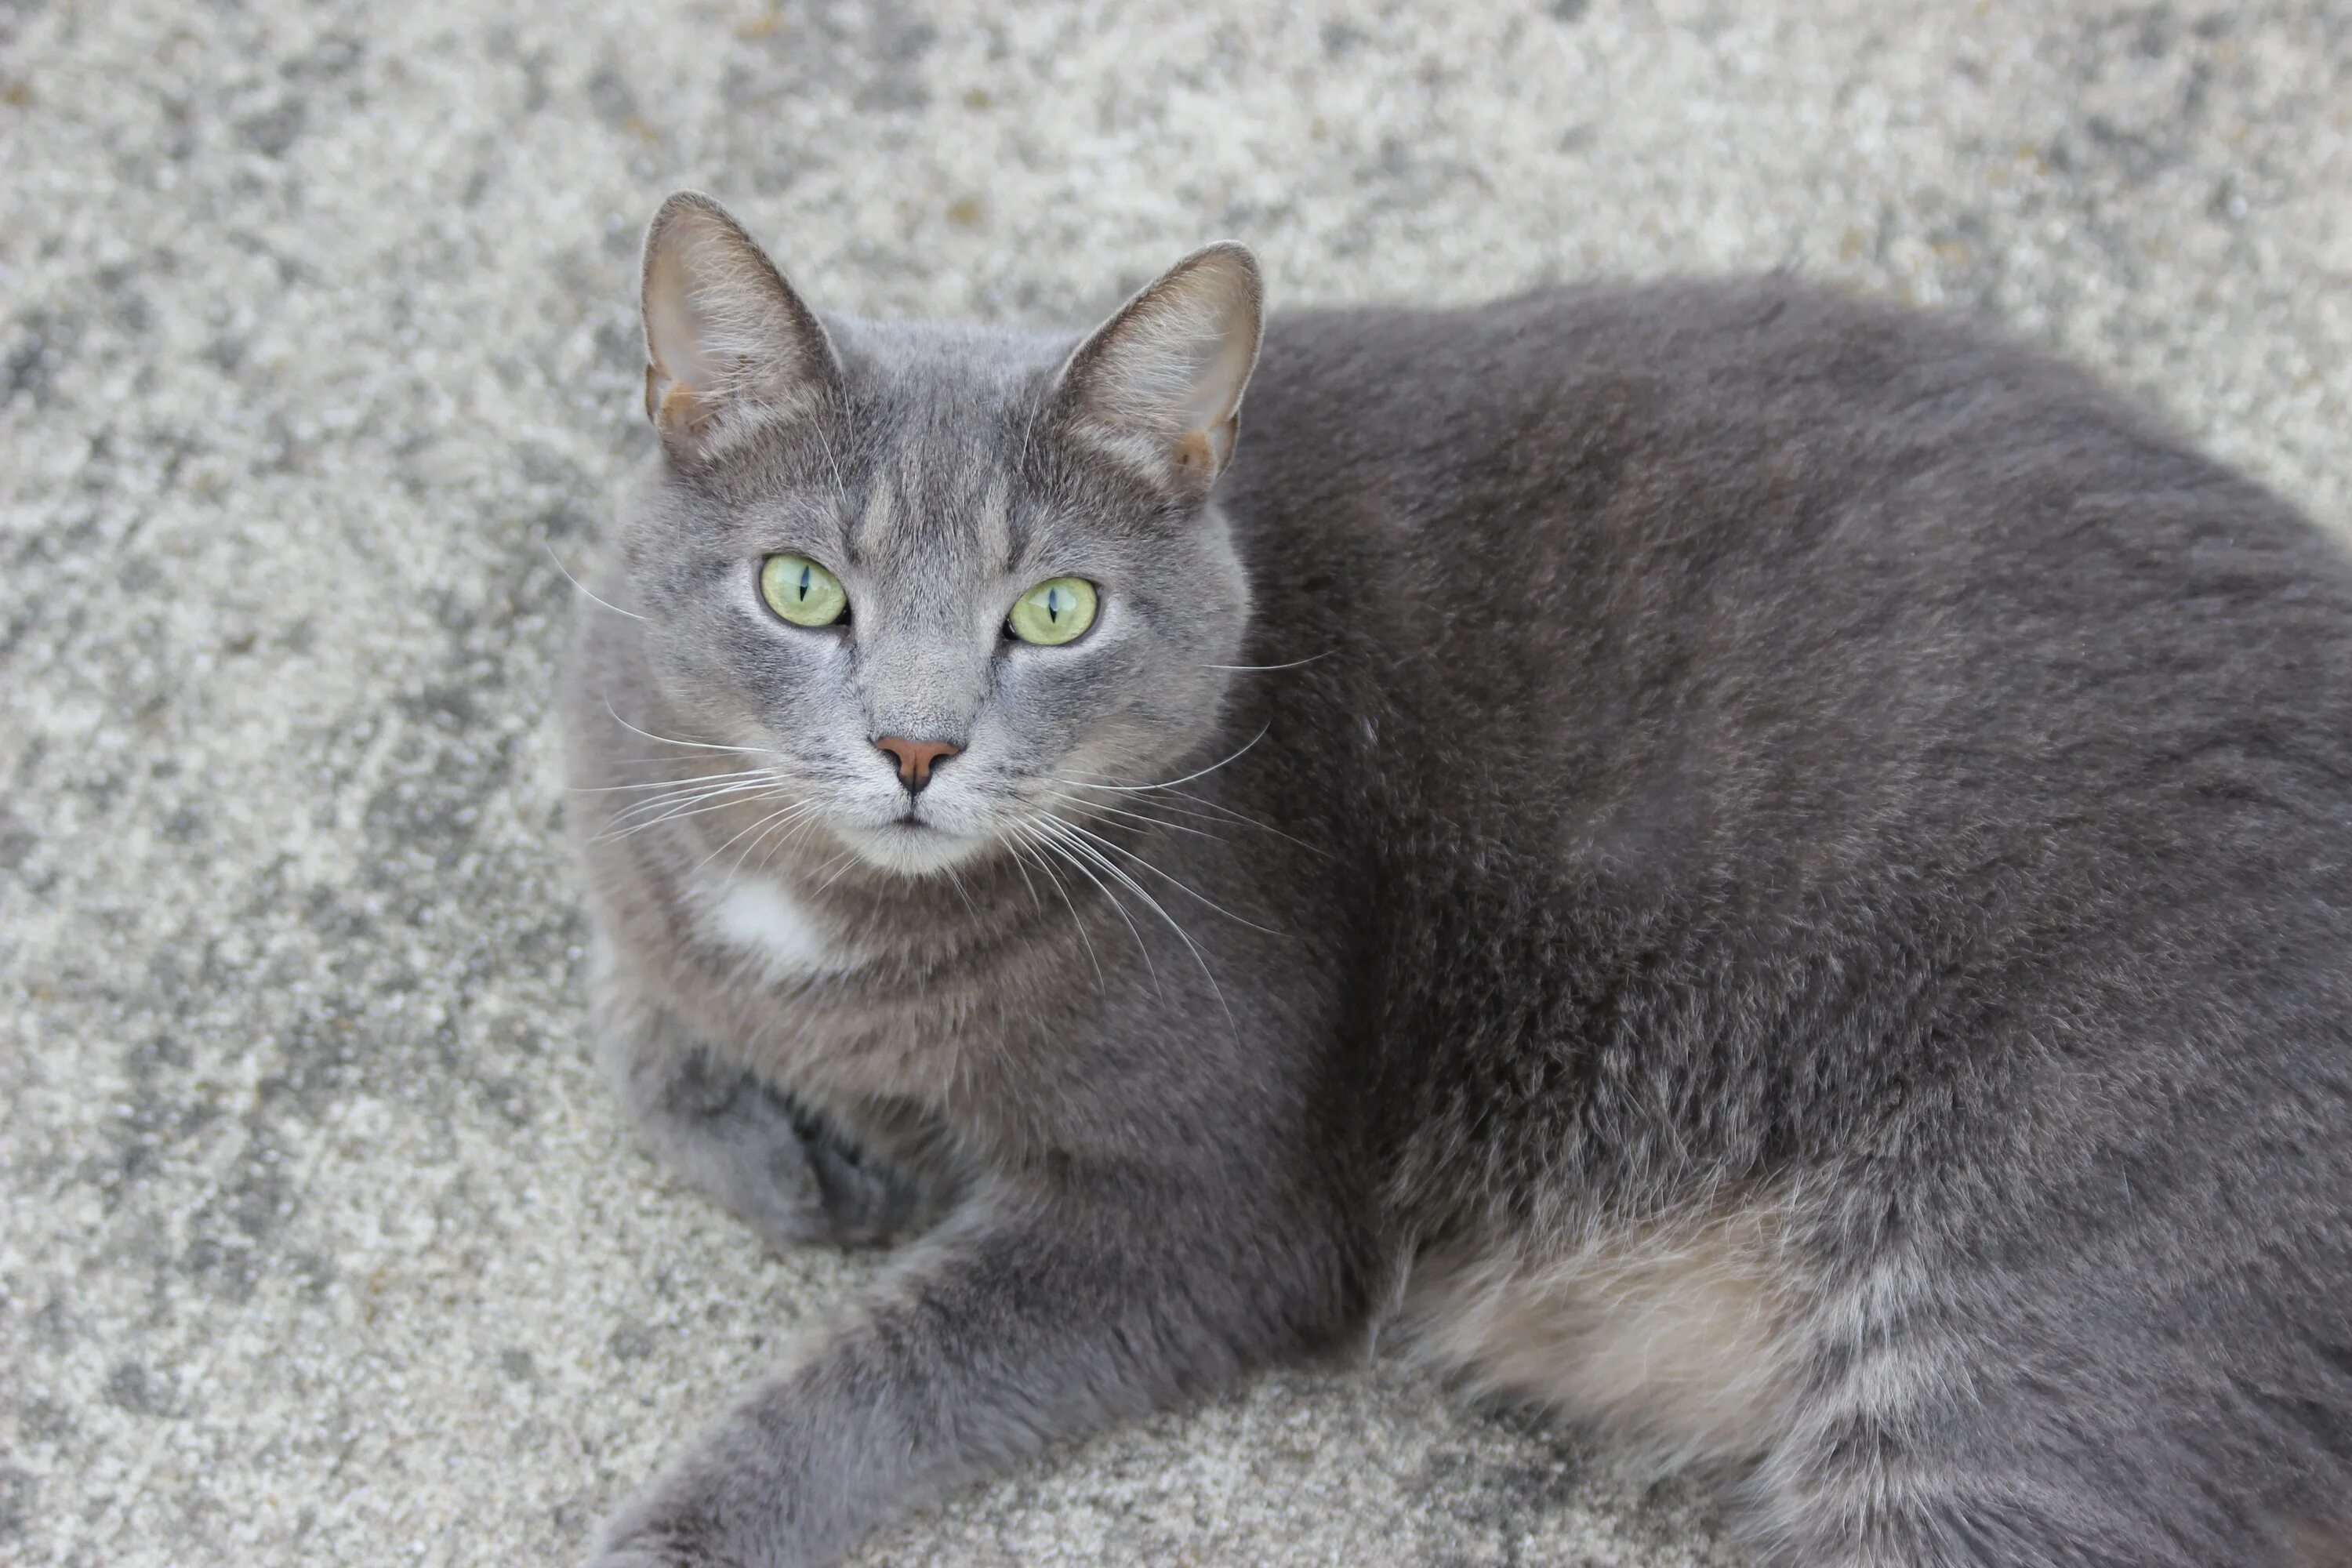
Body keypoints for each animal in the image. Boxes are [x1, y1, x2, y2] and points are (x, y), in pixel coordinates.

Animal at [569, 190, 2352, 1561]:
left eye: (1056, 612)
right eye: (803, 589)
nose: (917, 745)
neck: (826, 928)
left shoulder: (1202, 1219)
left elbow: (878, 1378)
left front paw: (681, 1523)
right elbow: (648, 1020)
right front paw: (786, 1137)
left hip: (2014, 1326)